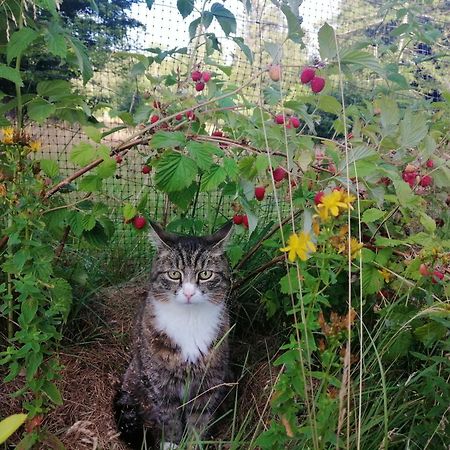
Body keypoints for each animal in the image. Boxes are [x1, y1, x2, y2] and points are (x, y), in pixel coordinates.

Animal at [114, 222, 234, 450]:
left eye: (205, 274)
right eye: (174, 274)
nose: (188, 293)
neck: (188, 320)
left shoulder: (208, 382)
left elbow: (200, 418)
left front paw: (194, 443)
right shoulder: (160, 384)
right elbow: (169, 417)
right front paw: (171, 443)